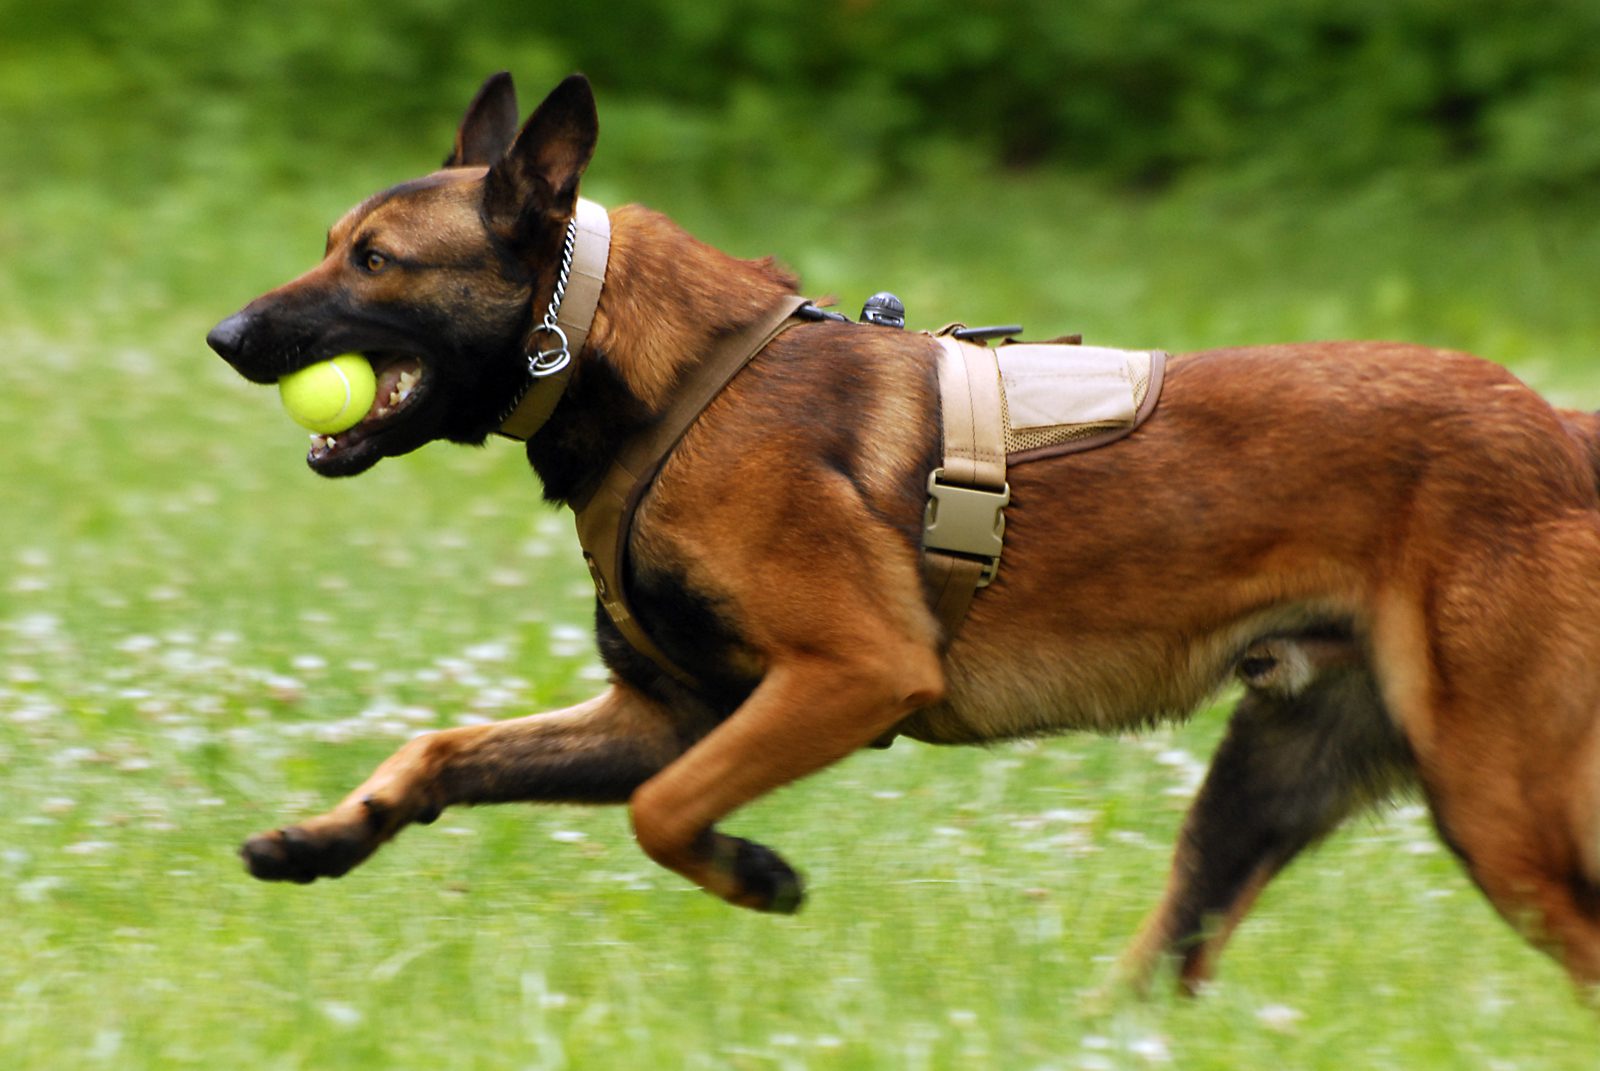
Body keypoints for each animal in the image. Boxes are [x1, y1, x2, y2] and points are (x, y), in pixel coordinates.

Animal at [206, 73, 1600, 992]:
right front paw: (325, 839)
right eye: (330, 244)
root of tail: (1559, 427)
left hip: (1494, 806)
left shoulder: (846, 676)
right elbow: (444, 749)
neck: (660, 371)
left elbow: (660, 812)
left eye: (375, 261)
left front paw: (752, 872)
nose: (223, 336)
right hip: (1265, 790)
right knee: (1166, 969)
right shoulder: (669, 710)